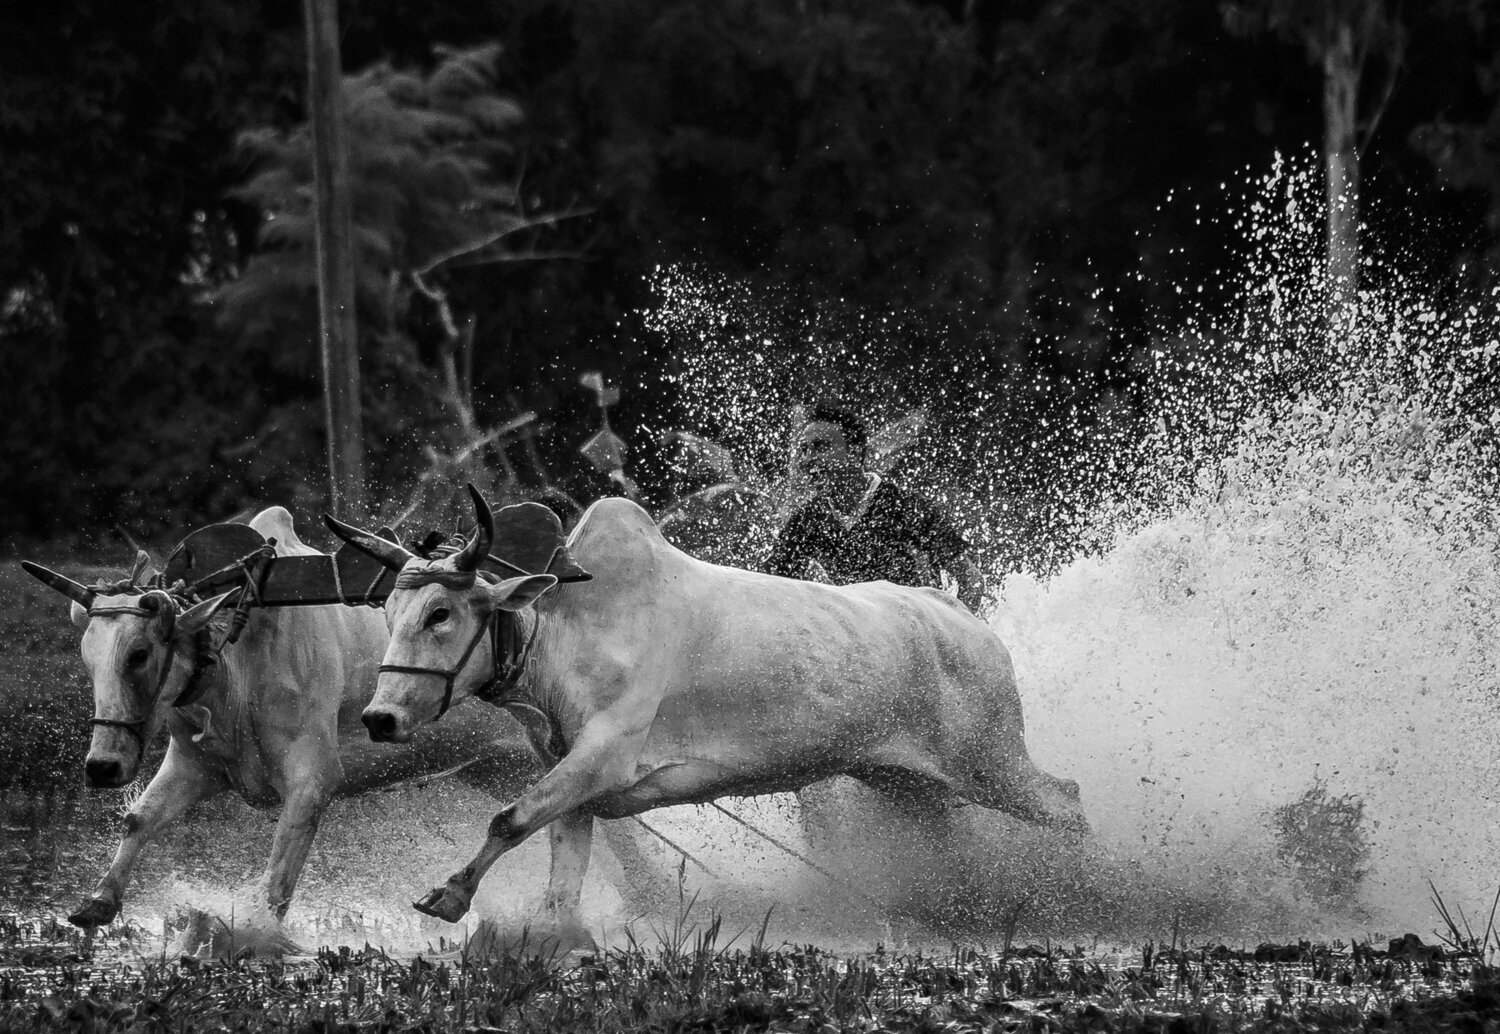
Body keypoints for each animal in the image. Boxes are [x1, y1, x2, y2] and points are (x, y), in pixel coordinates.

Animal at [21, 506, 546, 941]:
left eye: (140, 653)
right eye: (87, 658)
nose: (102, 767)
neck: (238, 650)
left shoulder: (312, 783)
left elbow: (276, 882)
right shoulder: (193, 762)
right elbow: (140, 817)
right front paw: (97, 902)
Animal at [325, 486, 1089, 929]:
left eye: (442, 613)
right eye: (389, 611)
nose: (379, 718)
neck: (571, 626)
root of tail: (957, 613)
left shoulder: (603, 758)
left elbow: (507, 818)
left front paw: (449, 896)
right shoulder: (575, 780)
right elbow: (556, 872)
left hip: (994, 766)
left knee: (1069, 800)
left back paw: (1070, 891)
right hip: (907, 782)